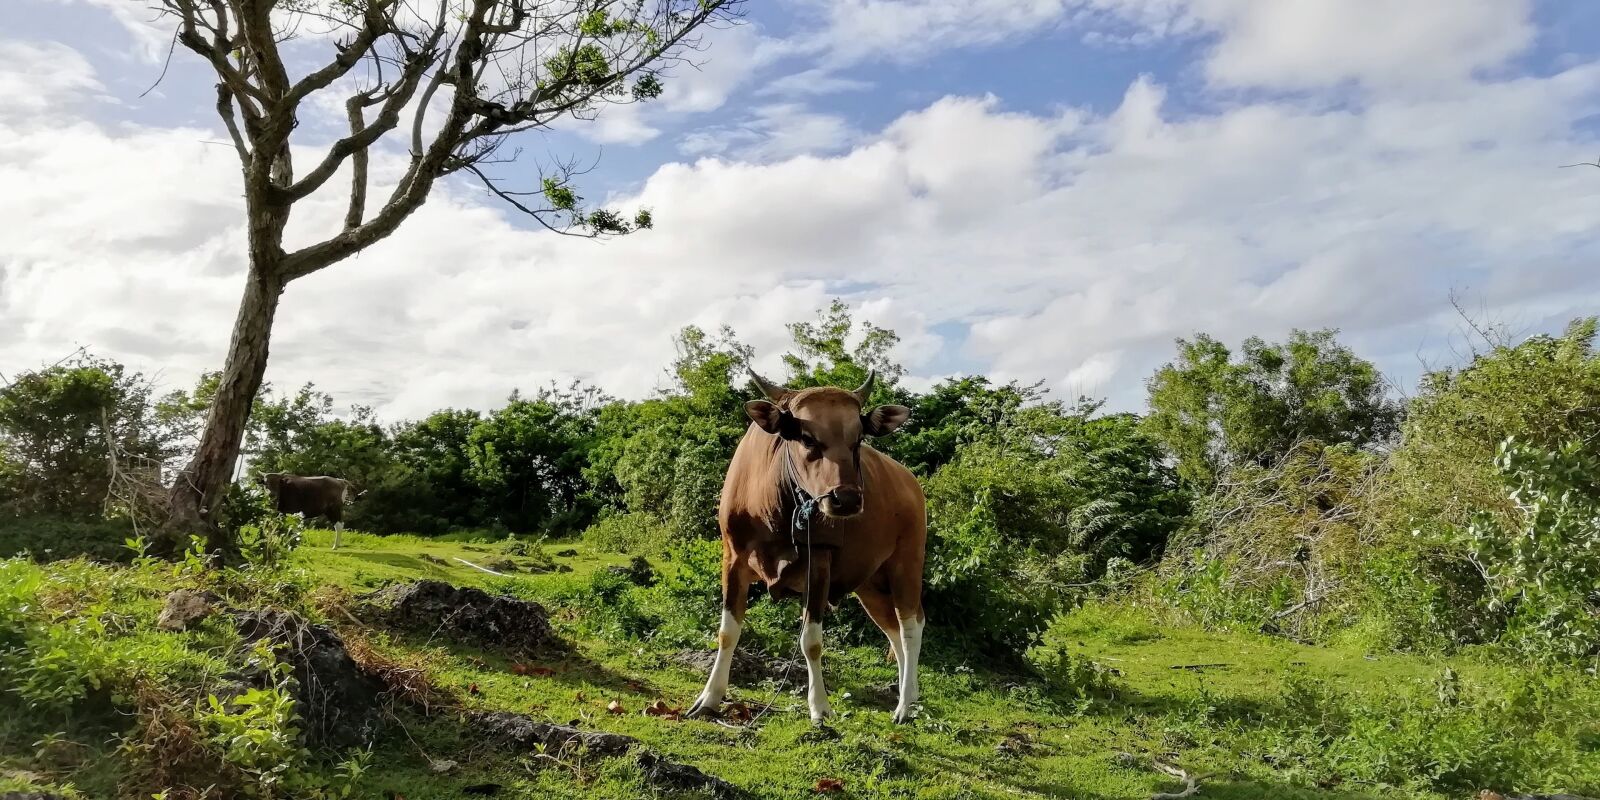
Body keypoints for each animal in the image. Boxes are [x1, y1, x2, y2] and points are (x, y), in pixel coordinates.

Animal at [684, 368, 928, 726]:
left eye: (858, 439)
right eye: (807, 437)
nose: (847, 499)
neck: (775, 510)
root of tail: (911, 483)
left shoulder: (819, 565)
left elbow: (811, 641)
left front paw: (820, 707)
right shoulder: (733, 559)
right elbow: (727, 632)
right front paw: (709, 698)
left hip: (906, 565)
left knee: (911, 626)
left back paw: (905, 705)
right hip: (870, 583)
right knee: (893, 631)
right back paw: (907, 696)